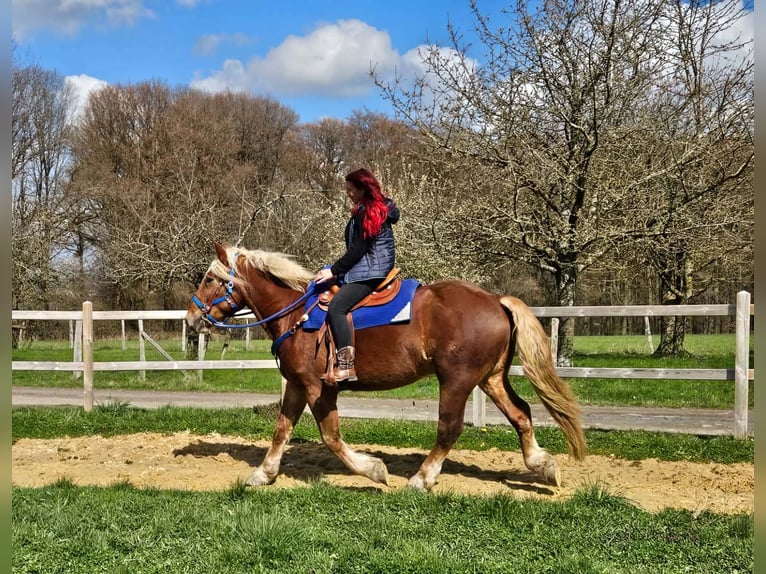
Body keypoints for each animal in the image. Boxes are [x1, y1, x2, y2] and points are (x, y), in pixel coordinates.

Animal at [185, 242, 586, 491]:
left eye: (209, 279)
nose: (191, 319)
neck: (298, 313)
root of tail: (495, 300)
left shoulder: (318, 387)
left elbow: (331, 437)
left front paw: (375, 470)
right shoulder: (298, 385)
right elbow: (281, 430)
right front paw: (263, 474)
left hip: (457, 381)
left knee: (450, 429)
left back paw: (423, 478)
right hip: (491, 379)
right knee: (521, 414)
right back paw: (543, 465)